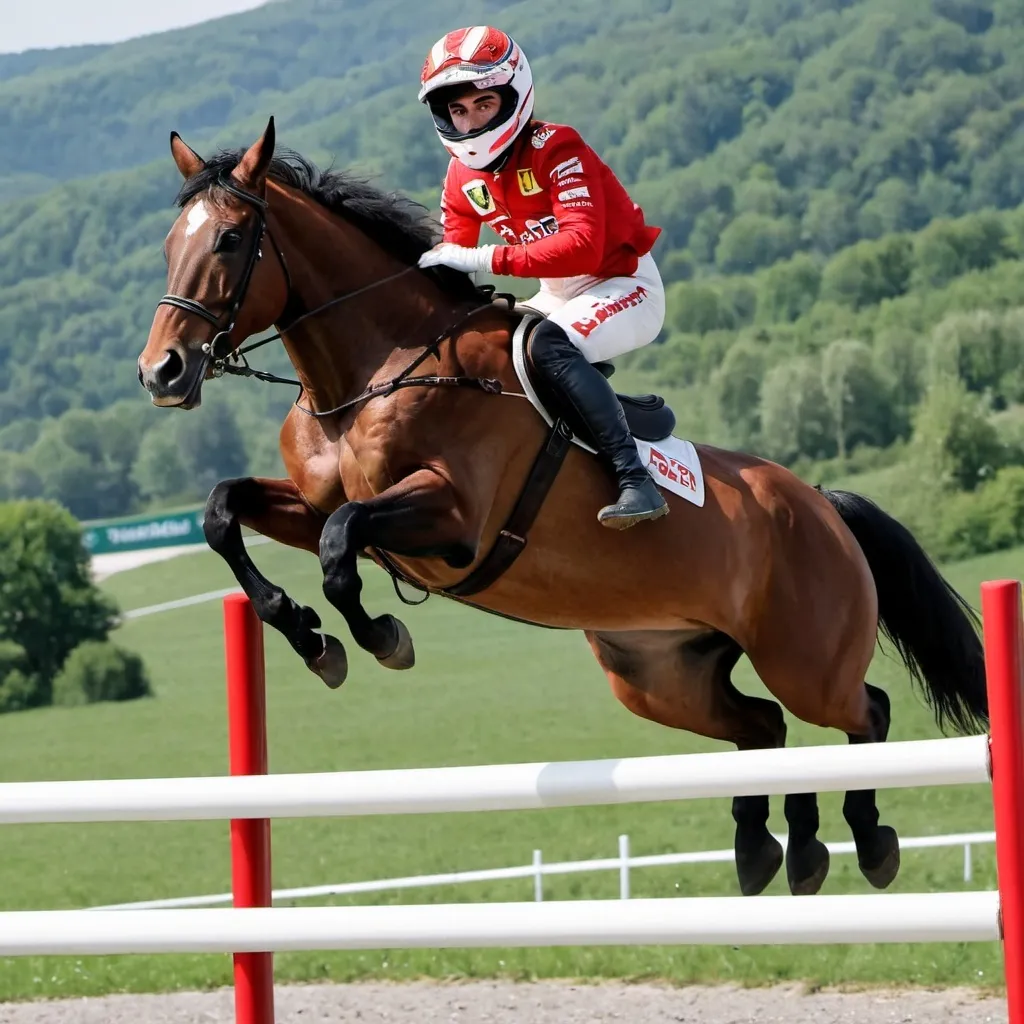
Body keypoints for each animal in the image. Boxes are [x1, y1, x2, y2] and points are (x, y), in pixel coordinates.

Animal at [132, 119, 987, 901]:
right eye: (172, 243)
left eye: (231, 239)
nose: (162, 372)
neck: (372, 371)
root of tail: (823, 507)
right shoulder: (312, 507)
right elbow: (223, 513)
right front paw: (310, 638)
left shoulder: (451, 522)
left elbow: (344, 548)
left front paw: (379, 638)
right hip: (658, 674)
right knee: (765, 728)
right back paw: (780, 854)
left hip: (806, 658)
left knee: (862, 712)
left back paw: (869, 843)